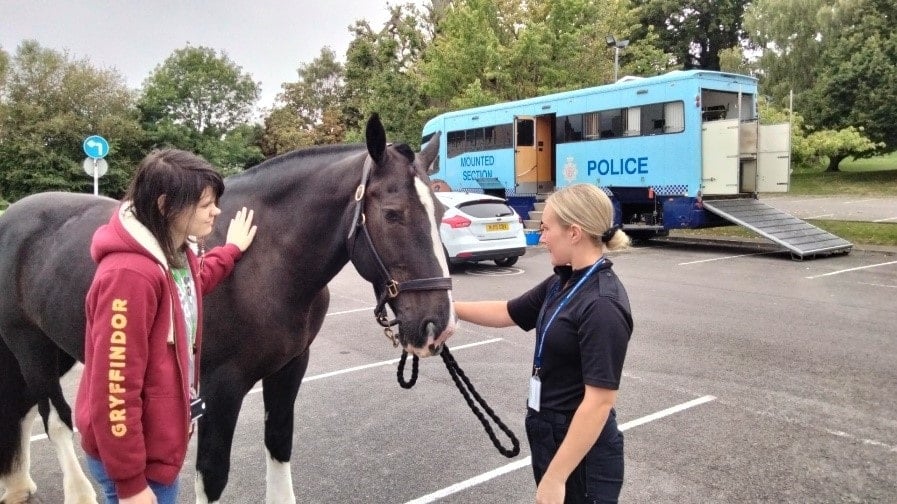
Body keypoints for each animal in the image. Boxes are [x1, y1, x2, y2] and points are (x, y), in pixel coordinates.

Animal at [1, 115, 456, 504]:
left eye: (441, 212)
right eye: (392, 214)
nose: (438, 325)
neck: (266, 261)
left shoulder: (290, 368)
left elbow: (279, 444)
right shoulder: (220, 388)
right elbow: (213, 475)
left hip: (57, 348)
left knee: (21, 410)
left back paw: (17, 484)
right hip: (31, 348)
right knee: (55, 419)